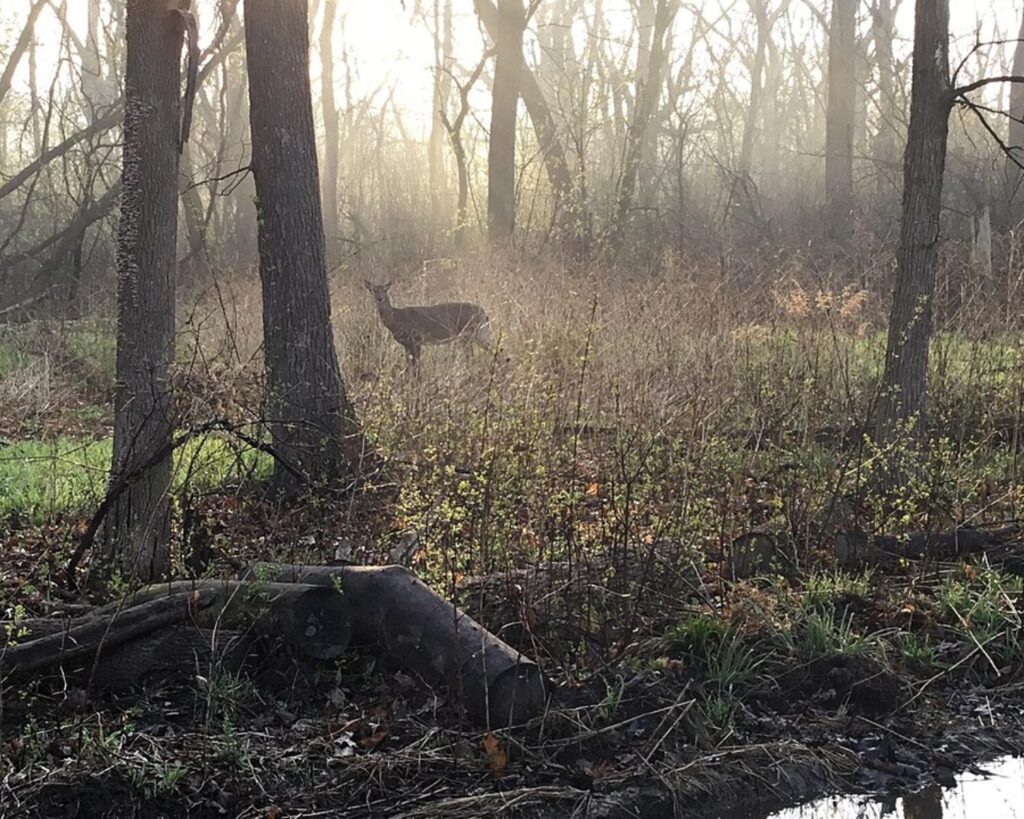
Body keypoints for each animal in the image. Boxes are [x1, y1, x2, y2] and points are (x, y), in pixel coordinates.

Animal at [363, 280, 495, 370]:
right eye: (373, 290)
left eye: (385, 290)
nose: (380, 299)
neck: (397, 320)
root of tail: (484, 313)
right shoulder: (407, 345)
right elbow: (409, 367)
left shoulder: (416, 339)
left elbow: (416, 367)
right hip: (471, 337)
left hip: (472, 334)